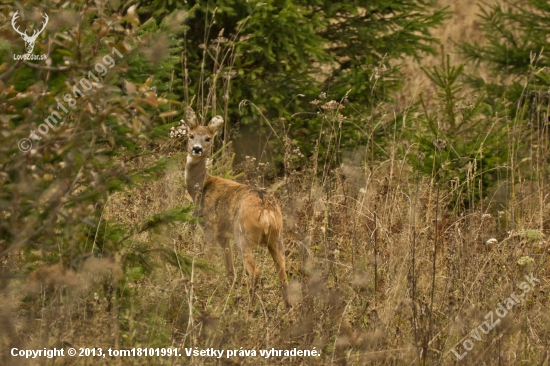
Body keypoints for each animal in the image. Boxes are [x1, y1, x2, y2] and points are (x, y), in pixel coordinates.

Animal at [183, 107, 292, 308]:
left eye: (208, 138)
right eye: (191, 135)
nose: (197, 149)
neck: (200, 189)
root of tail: (267, 212)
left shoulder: (210, 227)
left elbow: (208, 260)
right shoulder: (224, 235)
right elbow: (230, 271)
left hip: (243, 235)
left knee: (255, 272)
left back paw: (250, 308)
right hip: (277, 237)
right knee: (283, 272)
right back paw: (288, 308)